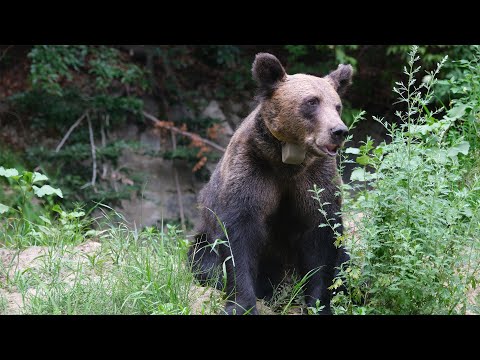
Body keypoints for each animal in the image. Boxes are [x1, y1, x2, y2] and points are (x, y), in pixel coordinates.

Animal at [188, 52, 352, 314]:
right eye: (311, 102)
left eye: (337, 105)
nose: (338, 131)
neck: (287, 161)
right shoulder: (253, 170)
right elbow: (238, 236)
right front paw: (241, 304)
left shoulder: (315, 179)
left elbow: (321, 237)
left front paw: (318, 304)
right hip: (204, 238)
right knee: (204, 260)